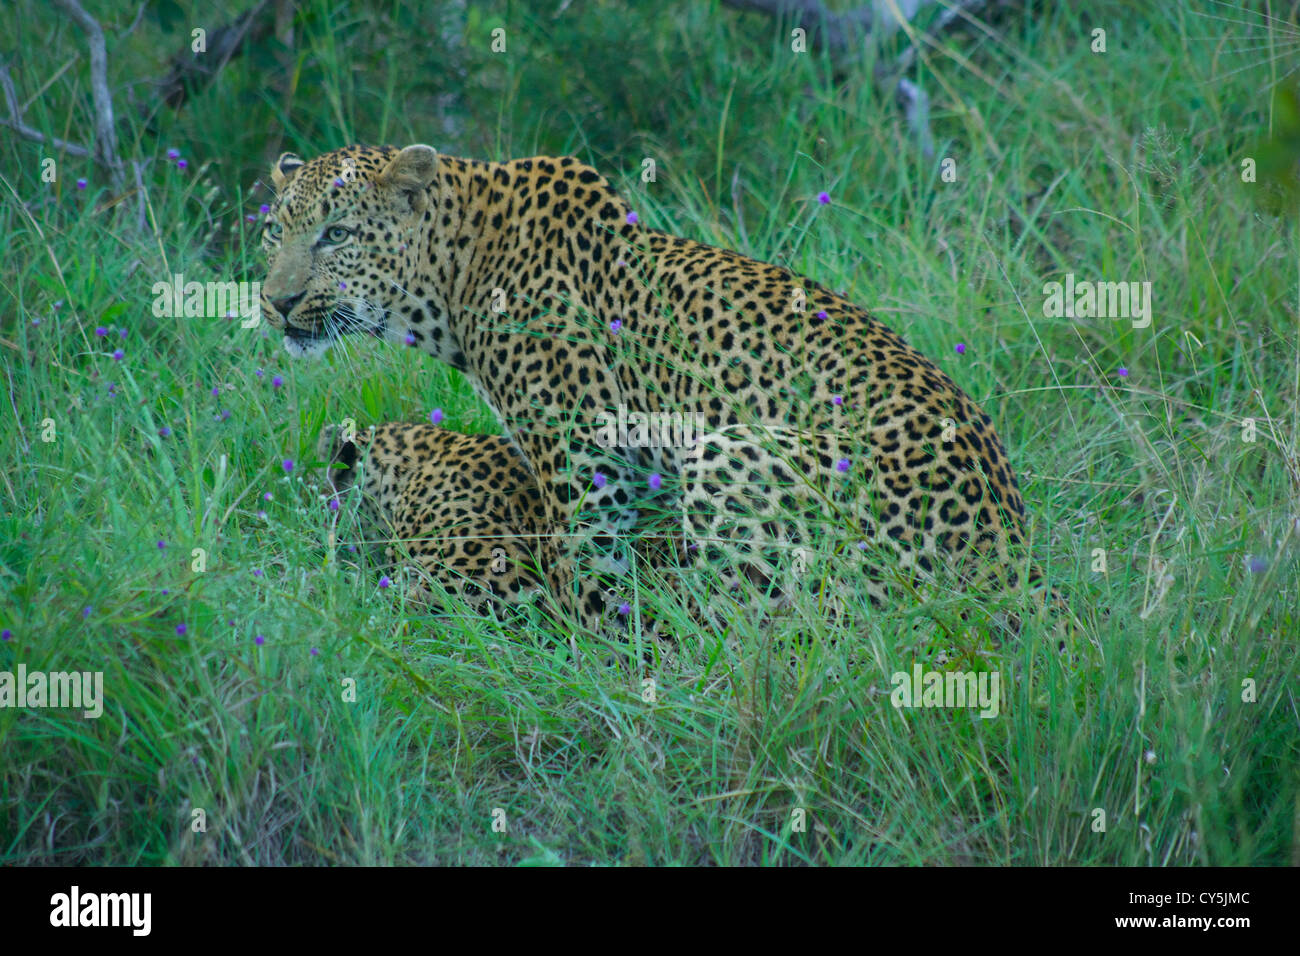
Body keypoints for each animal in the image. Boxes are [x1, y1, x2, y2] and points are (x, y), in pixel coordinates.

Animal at [263, 143, 1055, 634]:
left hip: (734, 453)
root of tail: (1009, 572)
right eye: (274, 232)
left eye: (337, 235)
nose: (274, 300)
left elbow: (589, 592)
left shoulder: (583, 470)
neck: (455, 274)